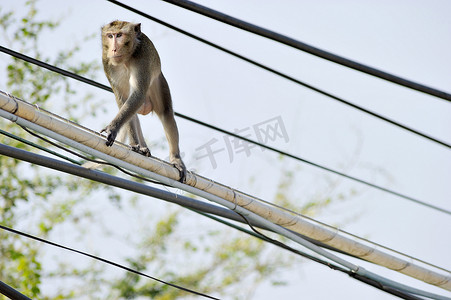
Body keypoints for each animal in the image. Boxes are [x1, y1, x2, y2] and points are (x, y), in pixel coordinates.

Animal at [101, 21, 187, 182]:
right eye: (110, 36)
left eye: (119, 35)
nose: (114, 48)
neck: (126, 59)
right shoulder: (107, 63)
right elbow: (122, 100)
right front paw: (134, 144)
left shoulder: (143, 59)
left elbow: (138, 95)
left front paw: (112, 128)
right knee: (132, 111)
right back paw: (140, 146)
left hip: (158, 81)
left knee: (166, 114)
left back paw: (176, 159)